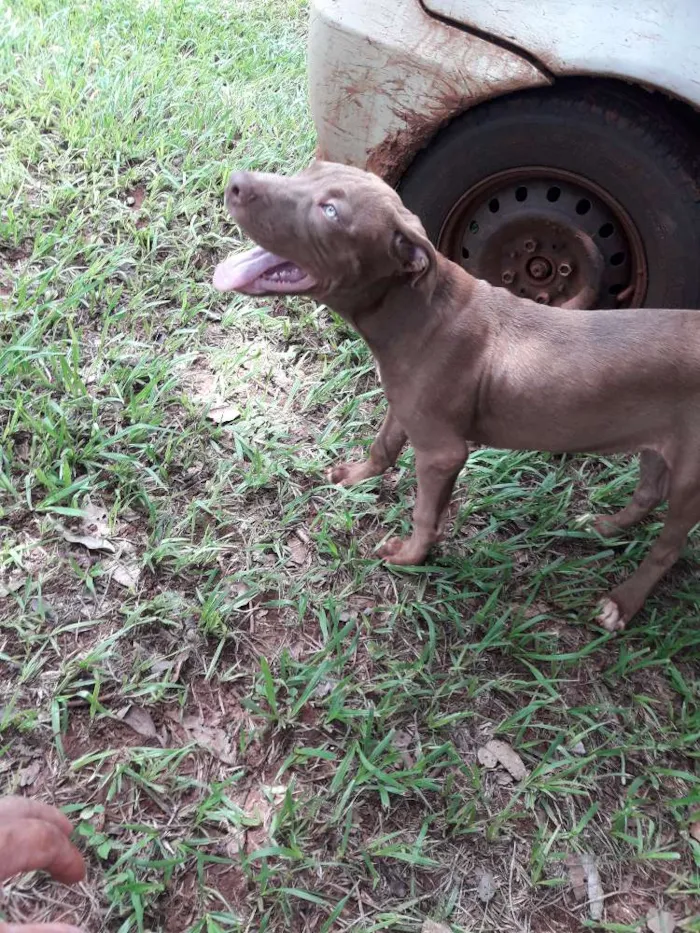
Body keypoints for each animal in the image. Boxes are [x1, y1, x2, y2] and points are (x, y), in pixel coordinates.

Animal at [213, 160, 700, 628]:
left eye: (330, 211)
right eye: (309, 172)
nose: (235, 182)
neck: (415, 309)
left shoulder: (442, 452)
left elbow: (425, 515)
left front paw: (410, 557)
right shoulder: (404, 403)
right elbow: (383, 447)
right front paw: (356, 477)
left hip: (692, 479)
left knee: (667, 548)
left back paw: (623, 602)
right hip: (657, 440)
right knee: (647, 493)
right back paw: (605, 526)